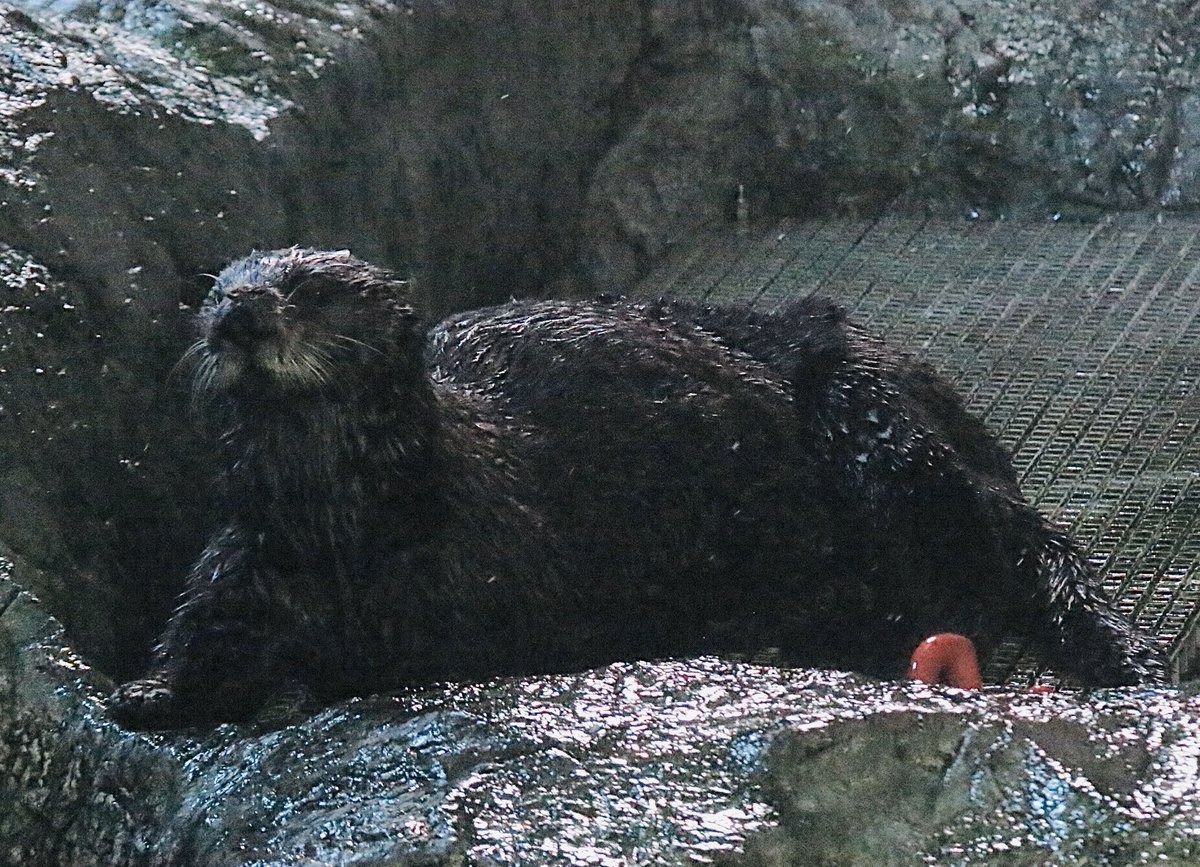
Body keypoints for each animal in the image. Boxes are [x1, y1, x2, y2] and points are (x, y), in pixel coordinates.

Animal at [109, 248, 1164, 728]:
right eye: (217, 290)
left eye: (310, 289)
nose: (240, 316)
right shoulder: (246, 560)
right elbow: (202, 635)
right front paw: (146, 695)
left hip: (875, 424)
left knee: (985, 562)